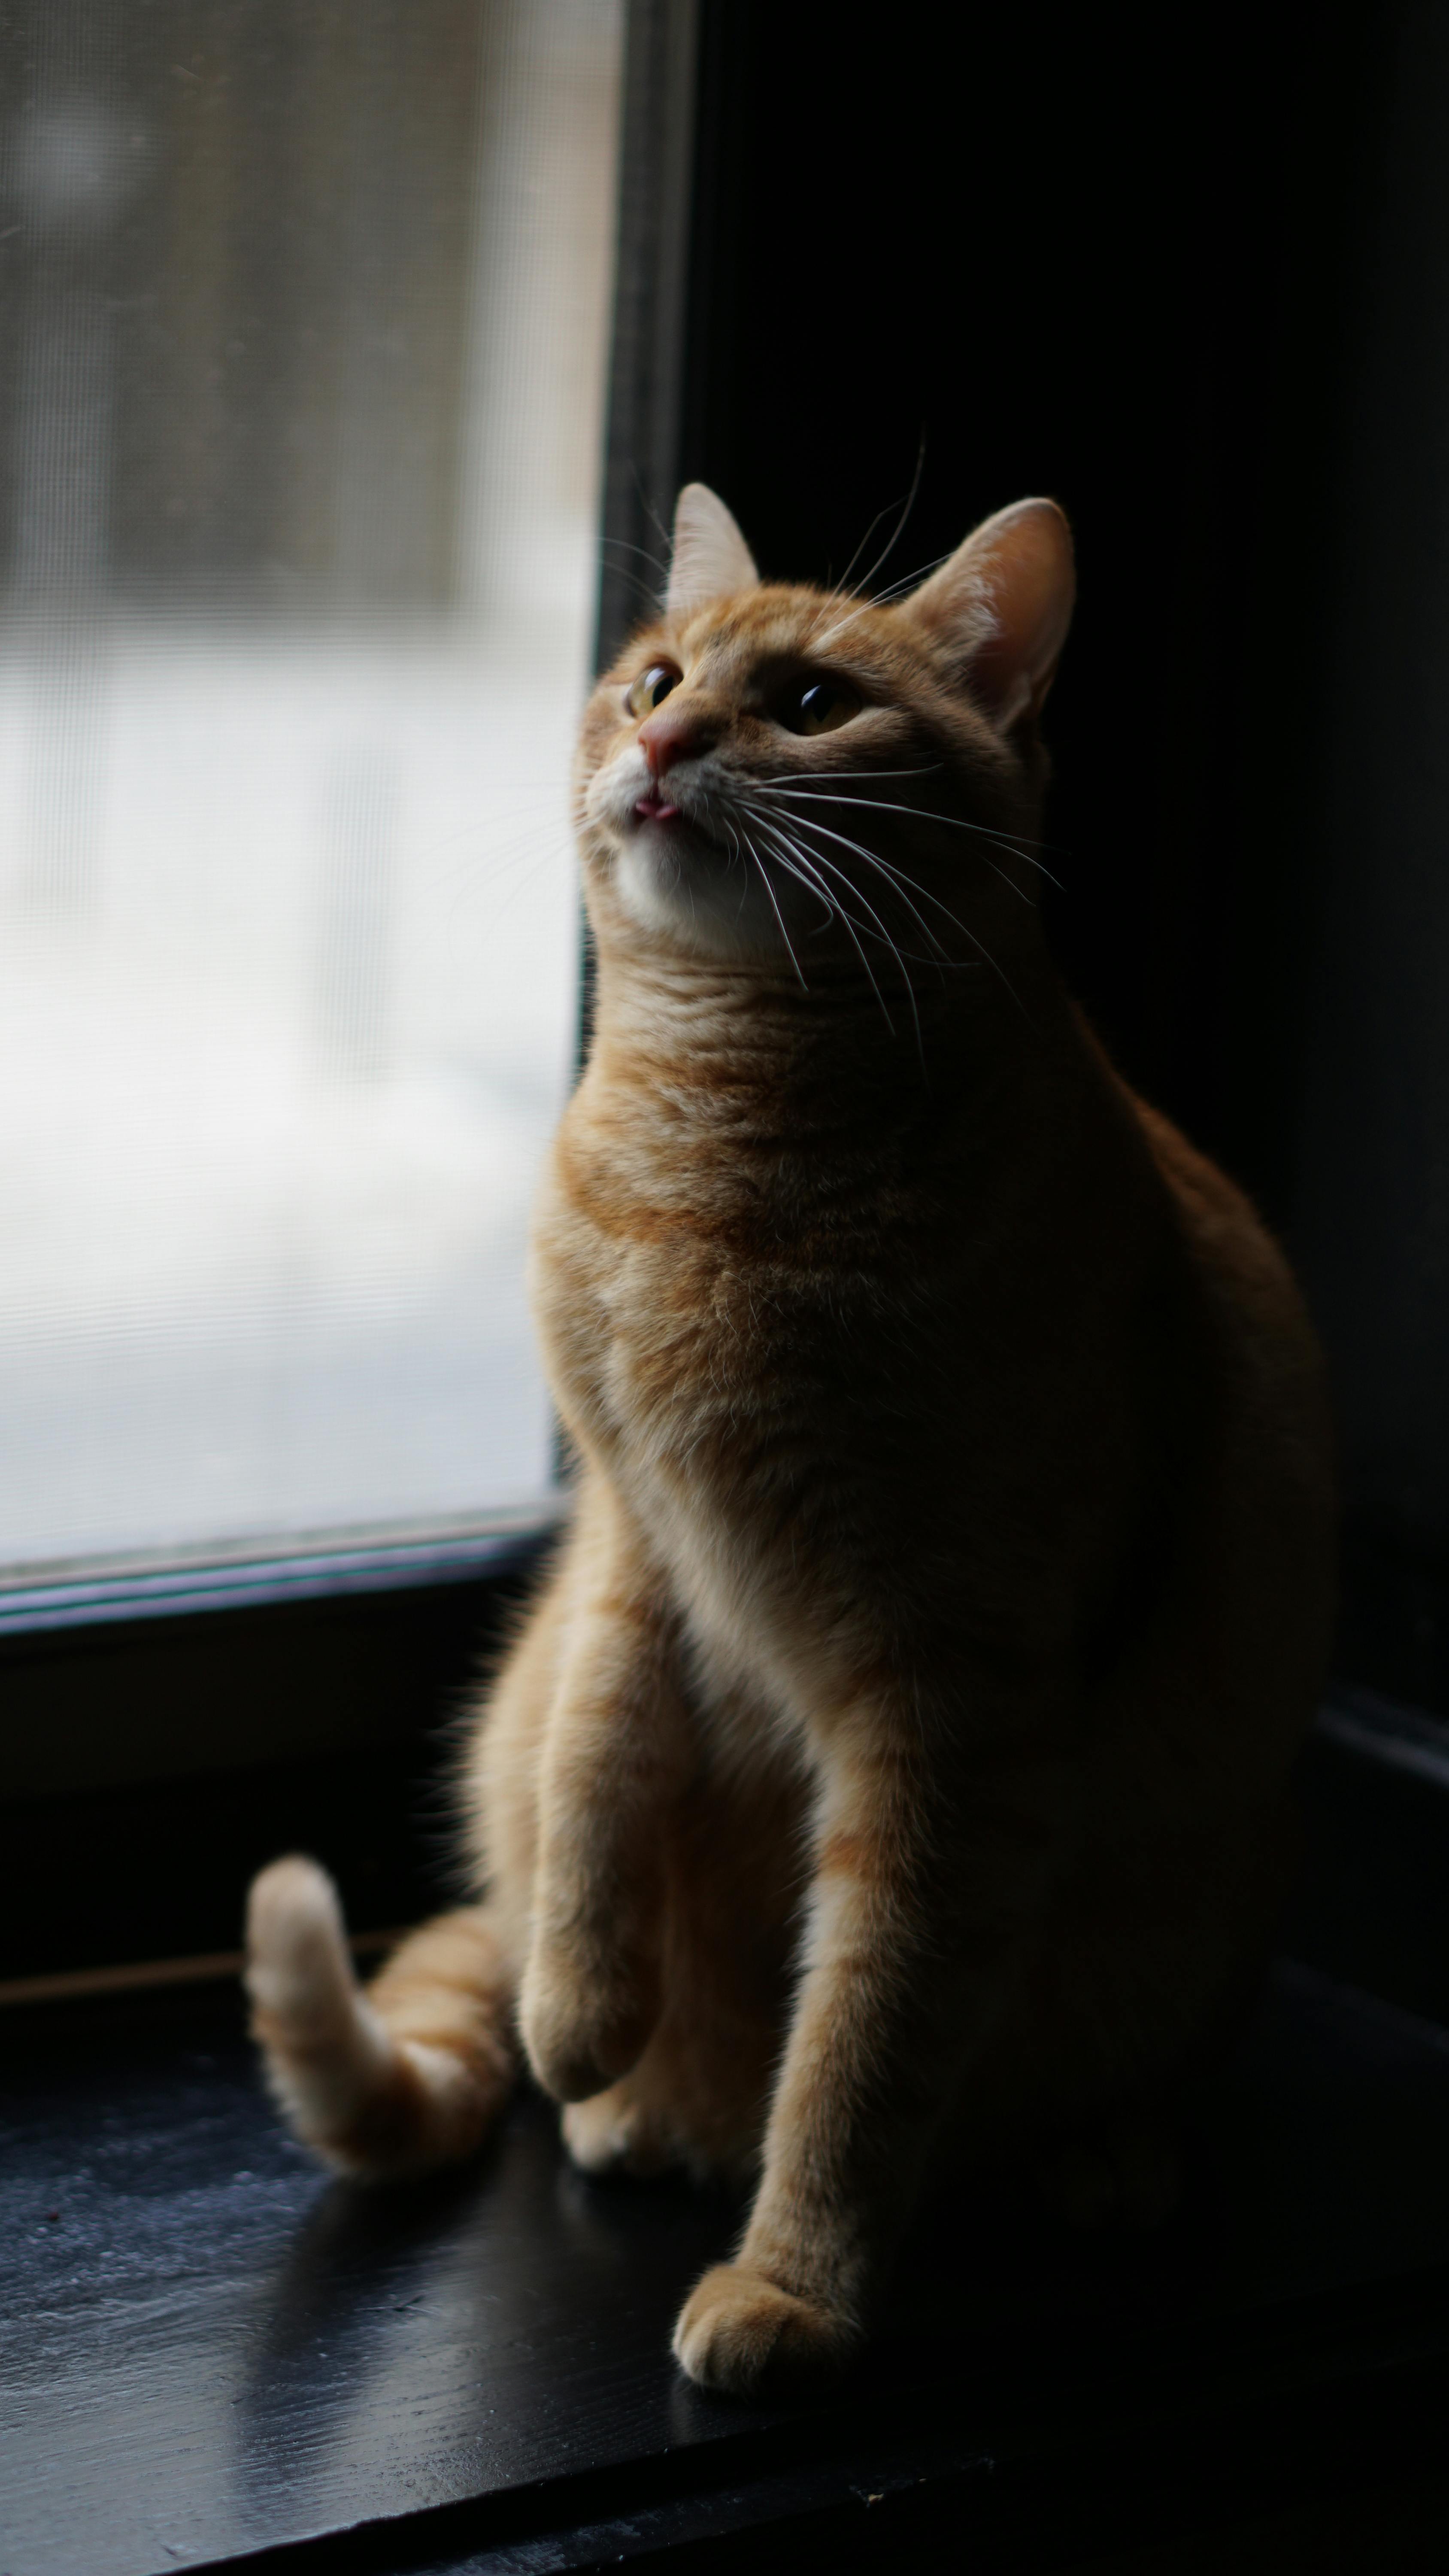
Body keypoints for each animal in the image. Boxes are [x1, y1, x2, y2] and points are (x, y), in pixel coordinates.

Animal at [247, 479, 1338, 2391]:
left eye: (812, 706)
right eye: (657, 676)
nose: (664, 740)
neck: (708, 1145)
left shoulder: (952, 1712)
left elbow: (864, 2041)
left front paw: (796, 2290)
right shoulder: (629, 1543)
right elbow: (599, 1776)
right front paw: (580, 2014)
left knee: (1013, 2091)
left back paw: (1096, 2158)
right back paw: (624, 2103)